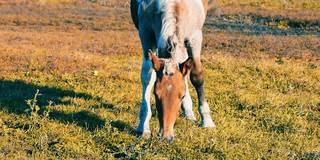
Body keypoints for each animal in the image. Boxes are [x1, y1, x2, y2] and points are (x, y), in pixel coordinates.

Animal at [130, 0, 215, 141]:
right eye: (156, 94)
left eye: (182, 96)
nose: (166, 136)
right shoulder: (145, 34)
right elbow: (147, 77)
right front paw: (143, 127)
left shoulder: (195, 37)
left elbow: (197, 76)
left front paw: (207, 121)